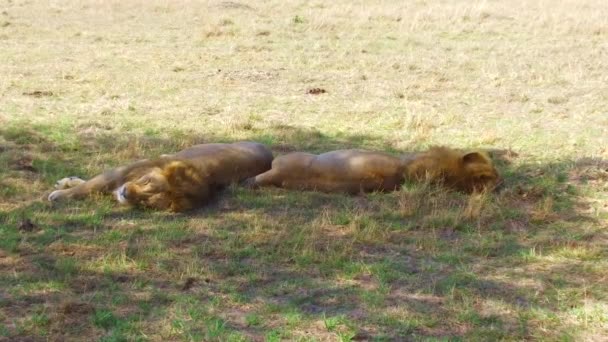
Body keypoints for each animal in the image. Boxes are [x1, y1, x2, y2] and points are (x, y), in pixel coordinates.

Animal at [48, 142, 274, 211]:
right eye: (147, 181)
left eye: (147, 202)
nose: (126, 193)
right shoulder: (119, 173)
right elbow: (86, 187)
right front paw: (59, 195)